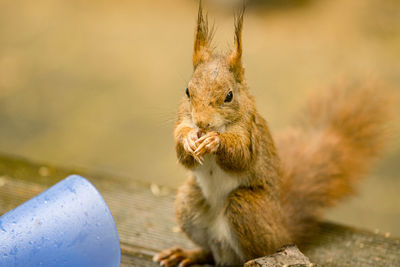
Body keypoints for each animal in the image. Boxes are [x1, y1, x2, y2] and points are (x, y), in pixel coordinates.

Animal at [153, 2, 390, 267]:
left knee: (256, 251)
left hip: (246, 209)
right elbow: (183, 151)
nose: (202, 123)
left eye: (229, 95)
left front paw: (215, 141)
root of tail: (283, 229)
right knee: (209, 252)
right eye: (187, 91)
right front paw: (188, 140)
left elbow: (241, 156)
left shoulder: (250, 133)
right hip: (188, 201)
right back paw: (187, 254)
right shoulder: (183, 120)